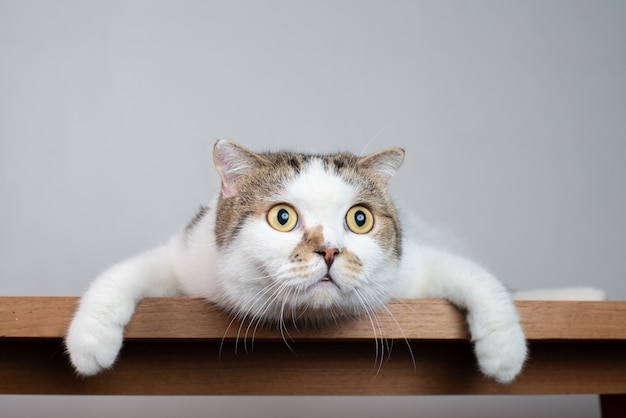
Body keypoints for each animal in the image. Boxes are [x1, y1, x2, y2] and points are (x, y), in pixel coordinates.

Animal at [66, 140, 528, 382]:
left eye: (360, 219)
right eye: (282, 217)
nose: (330, 250)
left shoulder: (414, 266)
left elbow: (478, 279)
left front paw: (504, 351)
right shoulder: (189, 259)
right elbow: (124, 273)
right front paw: (90, 340)